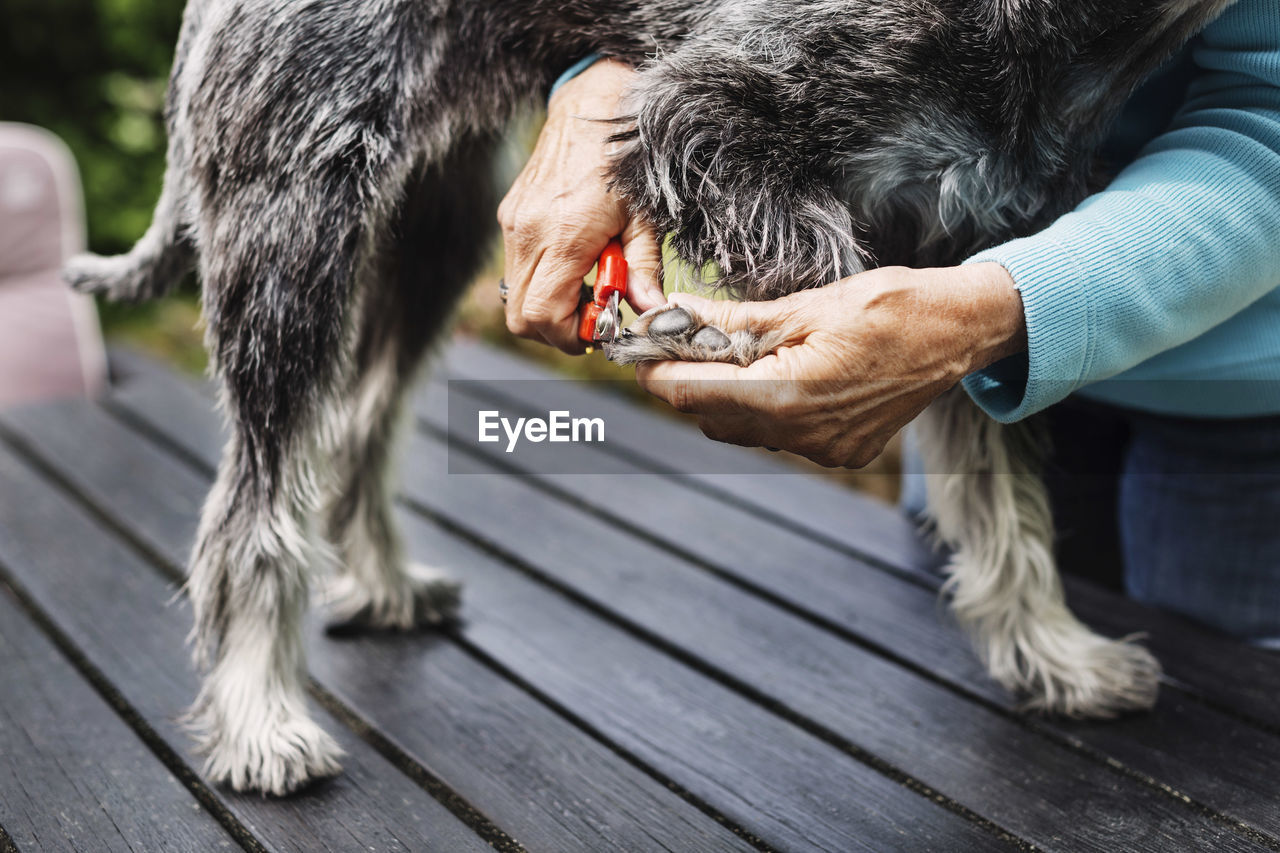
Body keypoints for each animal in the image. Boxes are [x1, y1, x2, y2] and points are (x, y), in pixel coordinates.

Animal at [67, 0, 1228, 788]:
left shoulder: (970, 259)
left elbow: (1002, 494)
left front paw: (1054, 653)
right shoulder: (710, 106)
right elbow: (812, 256)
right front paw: (712, 330)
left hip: (434, 229)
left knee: (358, 426)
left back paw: (385, 587)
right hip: (293, 235)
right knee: (253, 503)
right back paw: (260, 715)